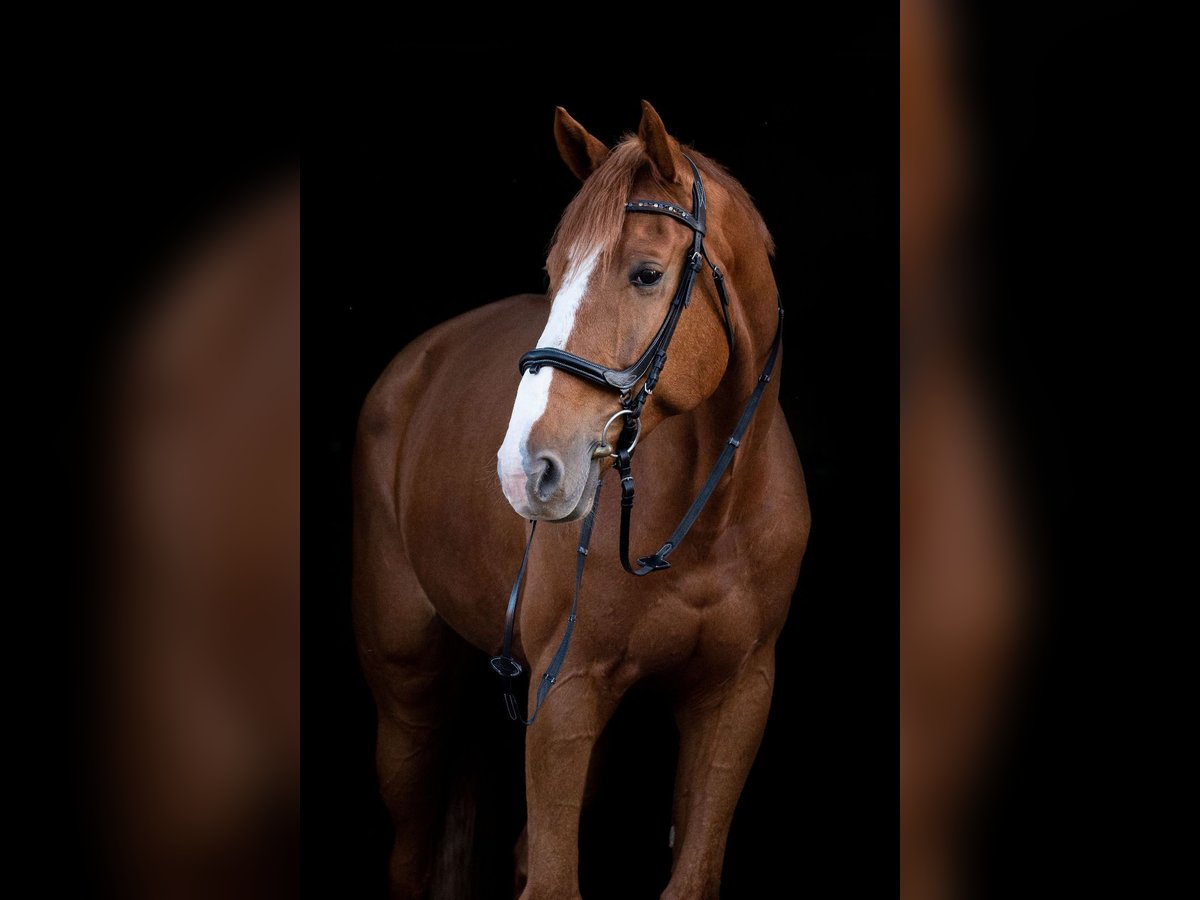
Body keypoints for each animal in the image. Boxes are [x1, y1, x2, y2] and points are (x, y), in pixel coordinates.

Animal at [350, 102, 811, 897]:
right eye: (555, 272)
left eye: (646, 273)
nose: (522, 469)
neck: (709, 519)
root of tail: (416, 363)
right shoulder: (565, 694)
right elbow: (553, 881)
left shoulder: (737, 697)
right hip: (407, 692)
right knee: (409, 851)